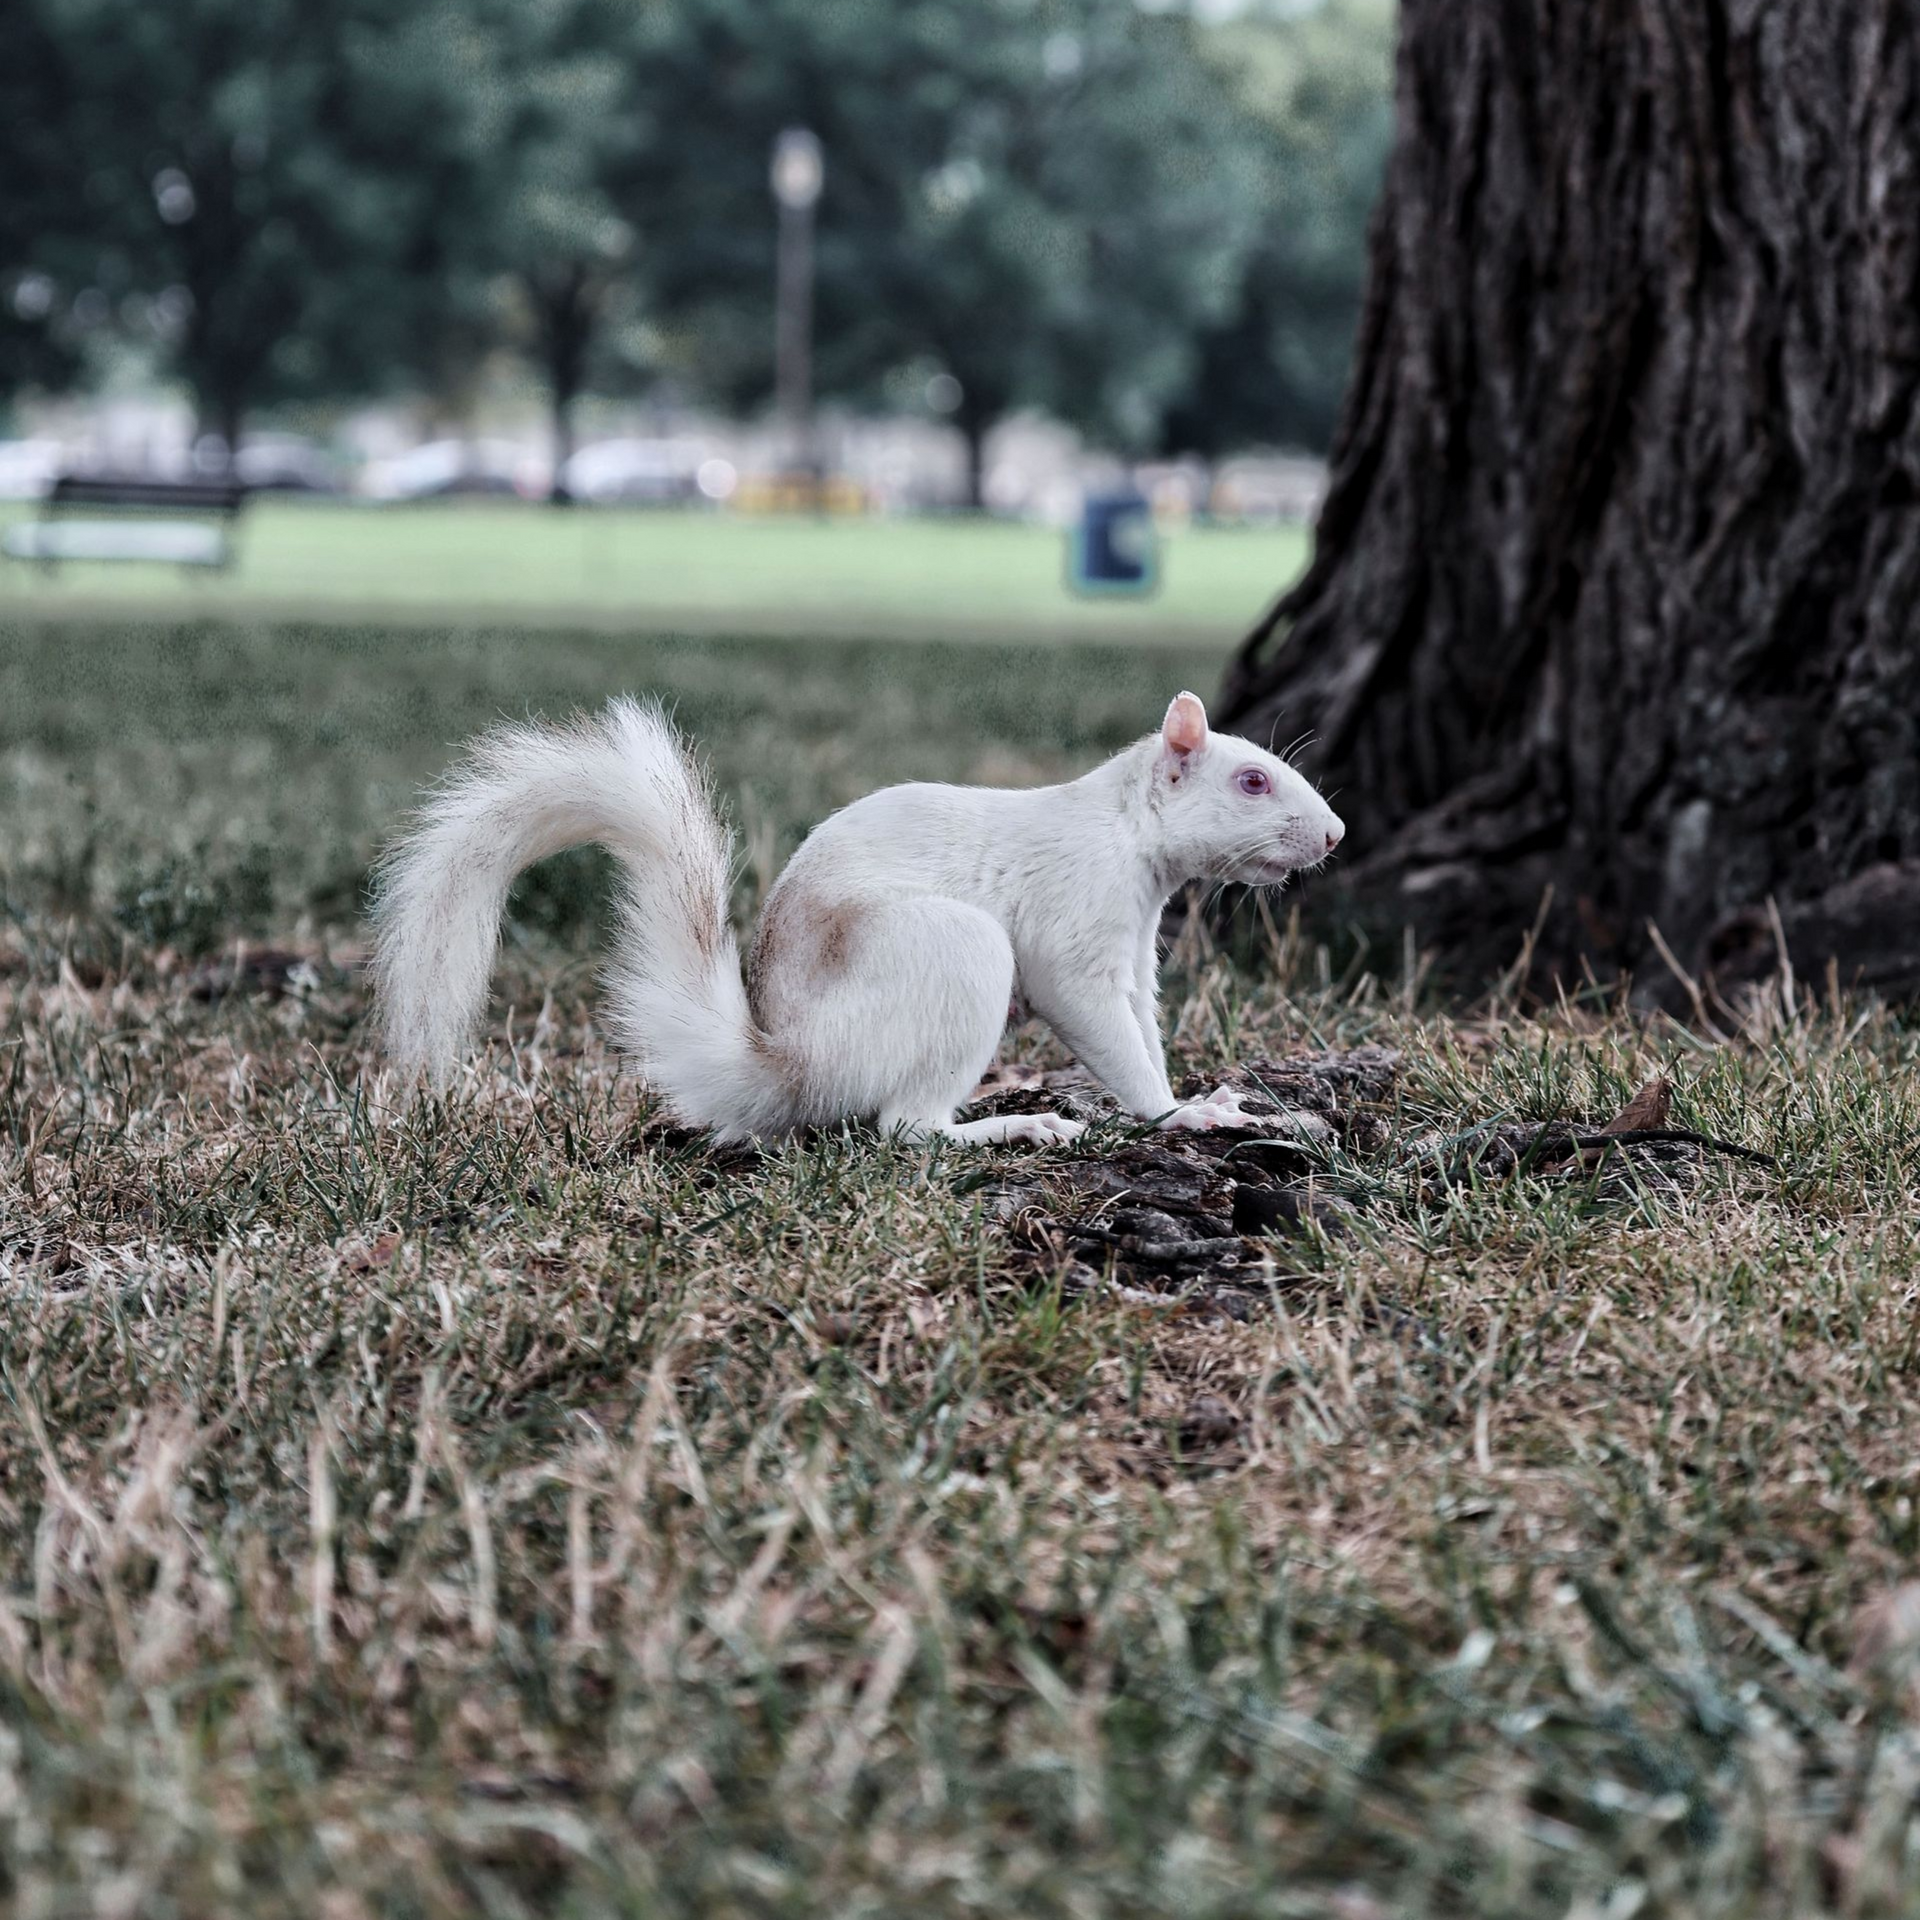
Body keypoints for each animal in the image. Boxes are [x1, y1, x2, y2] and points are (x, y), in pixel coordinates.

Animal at [371, 689, 1344, 1146]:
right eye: (1252, 781)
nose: (1335, 833)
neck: (1126, 830)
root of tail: (794, 1067)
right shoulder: (1076, 924)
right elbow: (1099, 1026)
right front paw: (1174, 1117)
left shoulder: (1134, 952)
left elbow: (1142, 1024)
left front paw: (1209, 1102)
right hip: (956, 954)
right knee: (903, 1128)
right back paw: (1009, 1126)